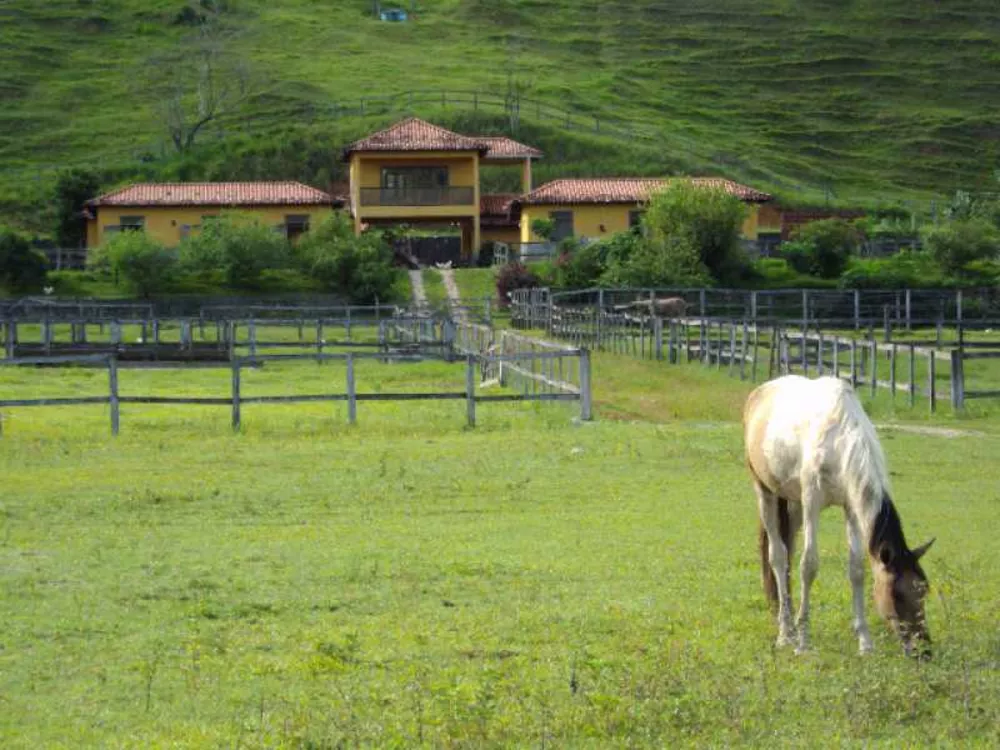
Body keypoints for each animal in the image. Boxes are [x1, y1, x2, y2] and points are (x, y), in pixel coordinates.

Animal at [744, 376, 936, 656]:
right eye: (897, 594)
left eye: (923, 589)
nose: (924, 649)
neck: (839, 439)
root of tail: (758, 393)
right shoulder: (811, 501)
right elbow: (809, 565)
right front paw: (803, 642)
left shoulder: (851, 506)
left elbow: (856, 569)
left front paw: (865, 643)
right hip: (765, 491)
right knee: (778, 557)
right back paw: (785, 633)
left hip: (793, 504)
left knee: (787, 551)